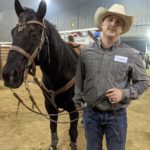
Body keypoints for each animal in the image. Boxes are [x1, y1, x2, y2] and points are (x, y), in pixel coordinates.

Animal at [2, 0, 79, 149]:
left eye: (34, 34)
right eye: (12, 32)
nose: (9, 74)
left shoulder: (74, 110)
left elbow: (73, 133)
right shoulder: (50, 108)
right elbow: (53, 130)